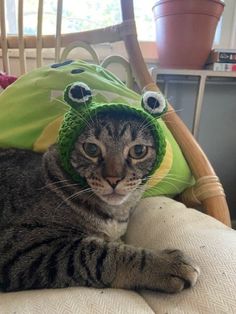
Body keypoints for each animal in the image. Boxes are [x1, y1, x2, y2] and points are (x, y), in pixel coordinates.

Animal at [0, 110, 199, 292]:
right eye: (91, 149)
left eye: (138, 151)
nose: (114, 179)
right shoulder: (22, 249)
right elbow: (98, 254)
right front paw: (164, 263)